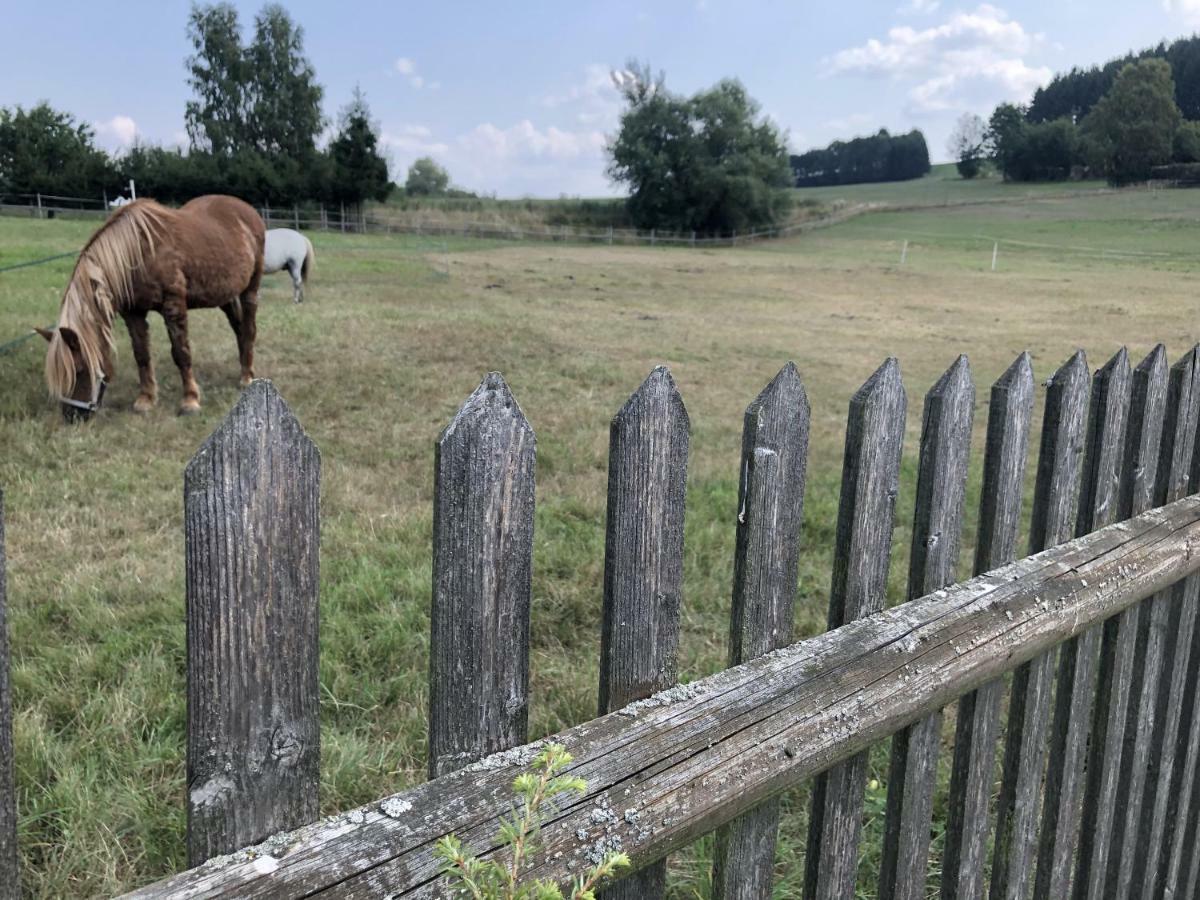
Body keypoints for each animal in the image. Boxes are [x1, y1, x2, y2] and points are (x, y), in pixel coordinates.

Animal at [38, 195, 264, 422]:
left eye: (80, 370)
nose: (72, 416)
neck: (136, 254)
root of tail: (248, 211)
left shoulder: (173, 305)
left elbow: (181, 353)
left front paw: (190, 400)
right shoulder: (133, 313)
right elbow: (142, 355)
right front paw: (146, 400)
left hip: (250, 290)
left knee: (249, 329)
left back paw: (246, 377)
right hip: (225, 295)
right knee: (239, 328)